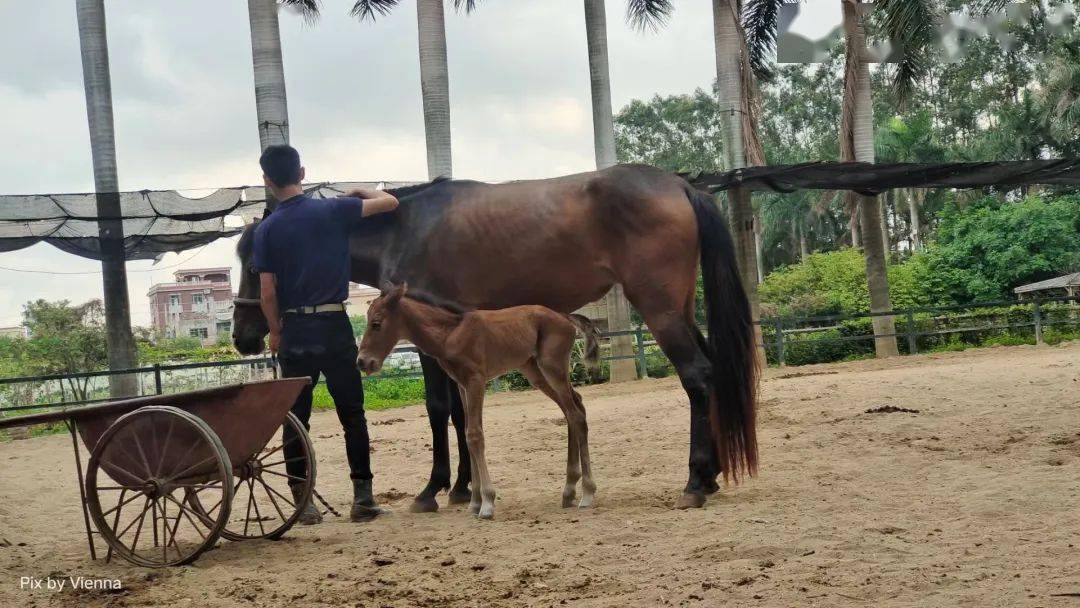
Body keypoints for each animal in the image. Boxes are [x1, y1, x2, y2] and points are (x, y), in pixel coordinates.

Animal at [358, 285, 604, 518]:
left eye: (376, 323)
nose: (362, 362)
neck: (450, 334)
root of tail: (565, 316)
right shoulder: (462, 385)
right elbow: (467, 434)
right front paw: (474, 502)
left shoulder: (476, 381)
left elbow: (475, 435)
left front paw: (487, 503)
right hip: (536, 373)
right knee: (573, 407)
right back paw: (569, 490)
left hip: (552, 368)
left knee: (575, 414)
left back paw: (587, 493)